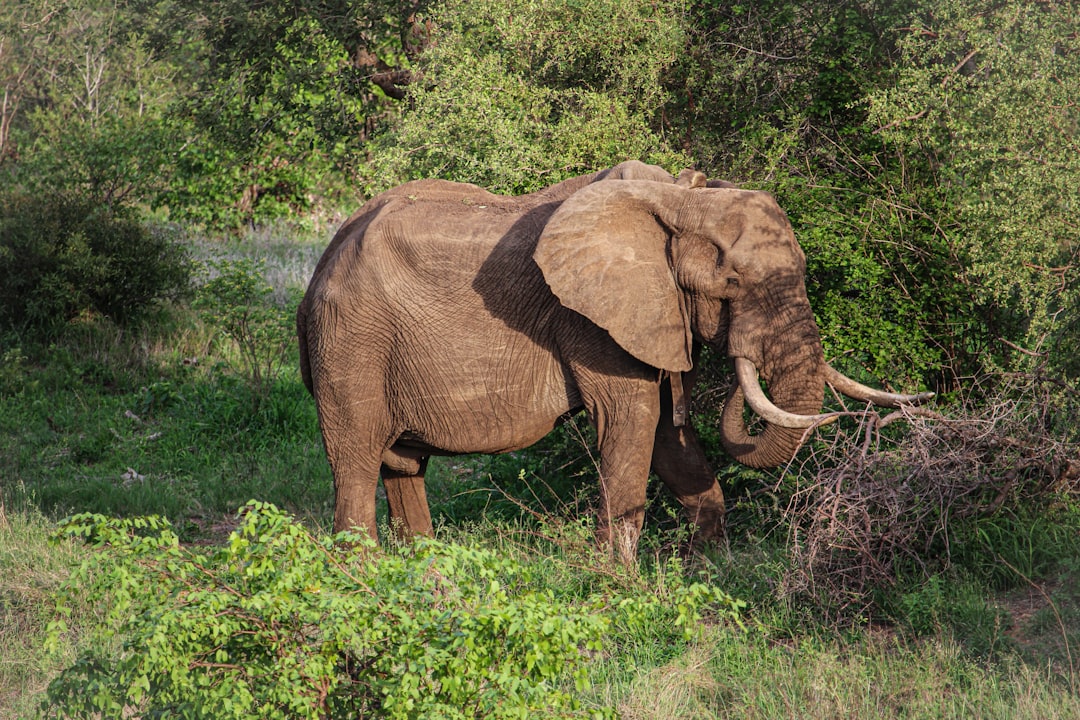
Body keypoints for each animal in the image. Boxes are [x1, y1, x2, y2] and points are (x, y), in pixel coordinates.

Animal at [297, 160, 932, 560]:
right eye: (732, 284)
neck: (680, 198)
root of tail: (318, 268)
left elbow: (671, 441)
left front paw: (711, 570)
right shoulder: (593, 323)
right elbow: (633, 422)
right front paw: (619, 586)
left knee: (403, 466)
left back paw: (421, 573)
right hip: (351, 345)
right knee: (357, 461)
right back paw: (361, 581)